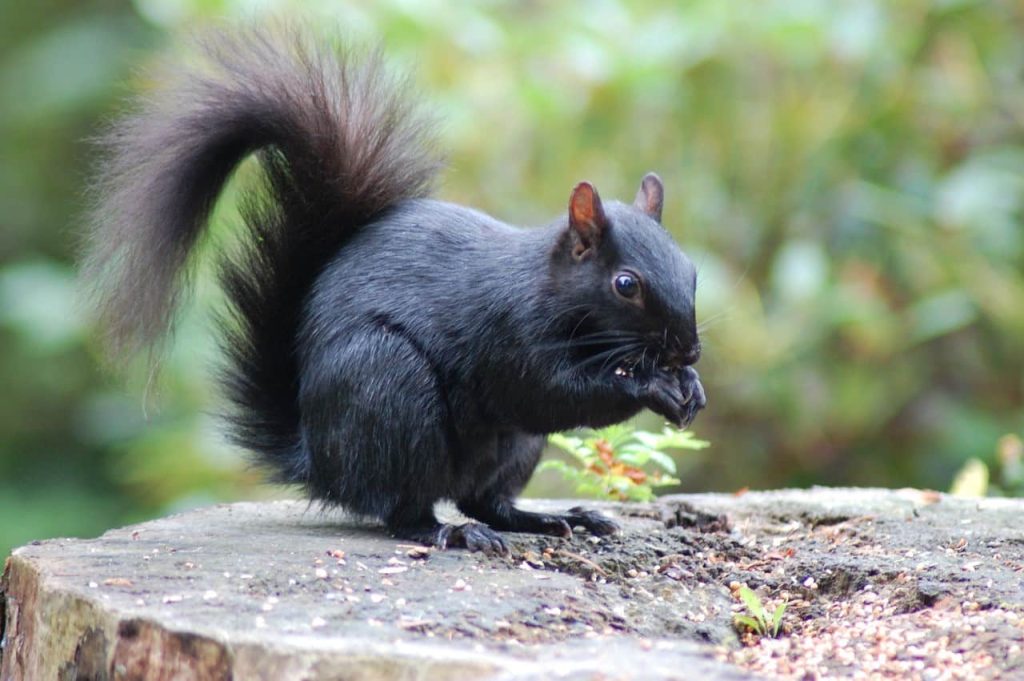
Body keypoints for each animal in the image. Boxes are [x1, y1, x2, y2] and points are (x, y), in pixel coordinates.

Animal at [81, 26, 704, 552]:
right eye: (626, 284)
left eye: (692, 269)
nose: (689, 351)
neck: (552, 293)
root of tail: (319, 460)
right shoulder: (509, 333)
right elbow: (548, 392)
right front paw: (651, 385)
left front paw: (690, 388)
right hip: (391, 394)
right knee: (406, 511)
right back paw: (451, 534)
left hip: (513, 447)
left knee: (485, 501)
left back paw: (551, 518)